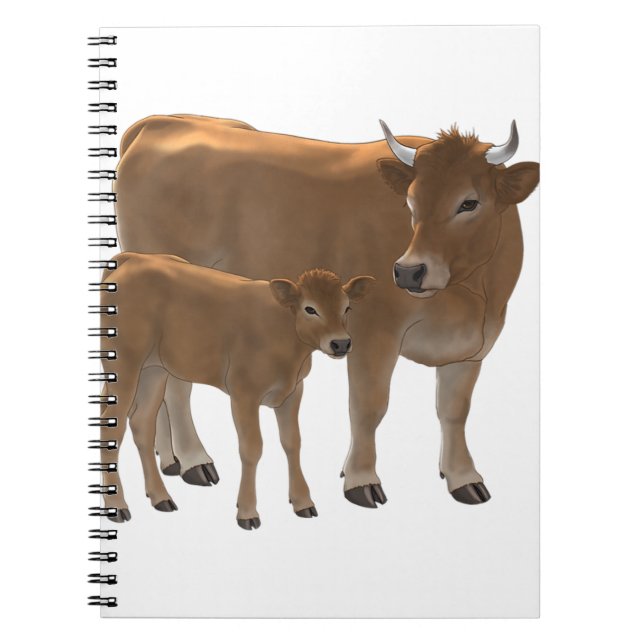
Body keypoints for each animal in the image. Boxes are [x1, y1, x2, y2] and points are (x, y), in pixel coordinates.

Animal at [99, 251, 375, 528]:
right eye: (310, 308)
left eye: (347, 307)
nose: (341, 343)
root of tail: (135, 258)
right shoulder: (244, 394)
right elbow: (252, 448)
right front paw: (248, 512)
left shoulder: (293, 391)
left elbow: (292, 443)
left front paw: (303, 502)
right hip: (125, 365)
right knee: (113, 426)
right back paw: (118, 506)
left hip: (153, 370)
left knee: (142, 423)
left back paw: (161, 498)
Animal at [114, 115, 539, 508]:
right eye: (411, 202)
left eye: (470, 202)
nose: (408, 271)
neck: (470, 297)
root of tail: (160, 122)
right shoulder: (373, 333)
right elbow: (368, 407)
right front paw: (361, 480)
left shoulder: (473, 345)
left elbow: (454, 411)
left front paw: (463, 478)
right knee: (177, 386)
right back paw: (193, 460)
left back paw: (169, 459)